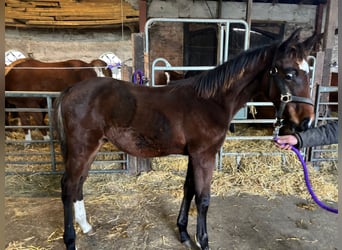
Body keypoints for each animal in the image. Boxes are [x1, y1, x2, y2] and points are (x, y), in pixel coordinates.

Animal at [53, 29, 320, 250]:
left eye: (308, 73)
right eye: (290, 73)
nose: (306, 122)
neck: (212, 101)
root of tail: (69, 91)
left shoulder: (194, 155)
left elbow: (188, 189)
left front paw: (183, 233)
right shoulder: (204, 155)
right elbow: (203, 199)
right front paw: (203, 242)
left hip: (89, 149)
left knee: (79, 184)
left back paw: (85, 227)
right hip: (83, 149)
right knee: (68, 186)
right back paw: (70, 240)